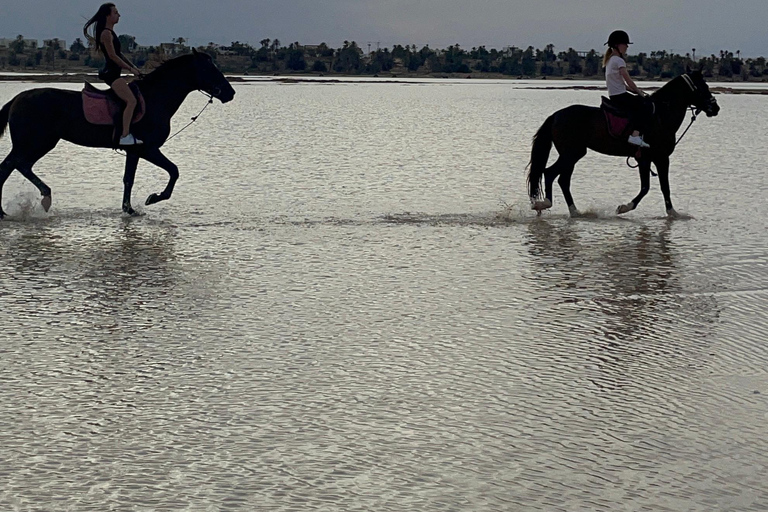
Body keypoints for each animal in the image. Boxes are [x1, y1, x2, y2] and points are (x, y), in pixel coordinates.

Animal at [0, 48, 235, 219]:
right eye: (210, 69)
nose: (230, 93)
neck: (156, 98)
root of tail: (16, 99)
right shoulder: (148, 149)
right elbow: (174, 171)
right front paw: (153, 198)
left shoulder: (134, 151)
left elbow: (128, 179)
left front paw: (129, 209)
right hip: (36, 142)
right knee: (14, 165)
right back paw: (39, 199)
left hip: (37, 143)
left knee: (15, 165)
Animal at [527, 70, 719, 218]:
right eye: (704, 87)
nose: (715, 108)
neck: (660, 116)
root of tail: (556, 115)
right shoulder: (659, 158)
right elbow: (659, 187)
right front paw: (669, 213)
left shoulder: (645, 159)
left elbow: (648, 187)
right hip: (571, 153)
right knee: (551, 173)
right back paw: (545, 204)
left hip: (572, 154)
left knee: (562, 180)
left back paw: (574, 212)